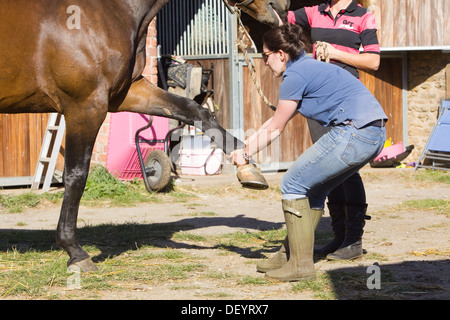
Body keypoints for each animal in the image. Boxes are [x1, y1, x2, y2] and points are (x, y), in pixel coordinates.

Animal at [0, 0, 288, 272]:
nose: (282, 7)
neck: (106, 11)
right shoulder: (85, 106)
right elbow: (76, 176)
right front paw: (75, 252)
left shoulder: (127, 92)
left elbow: (195, 111)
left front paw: (247, 167)